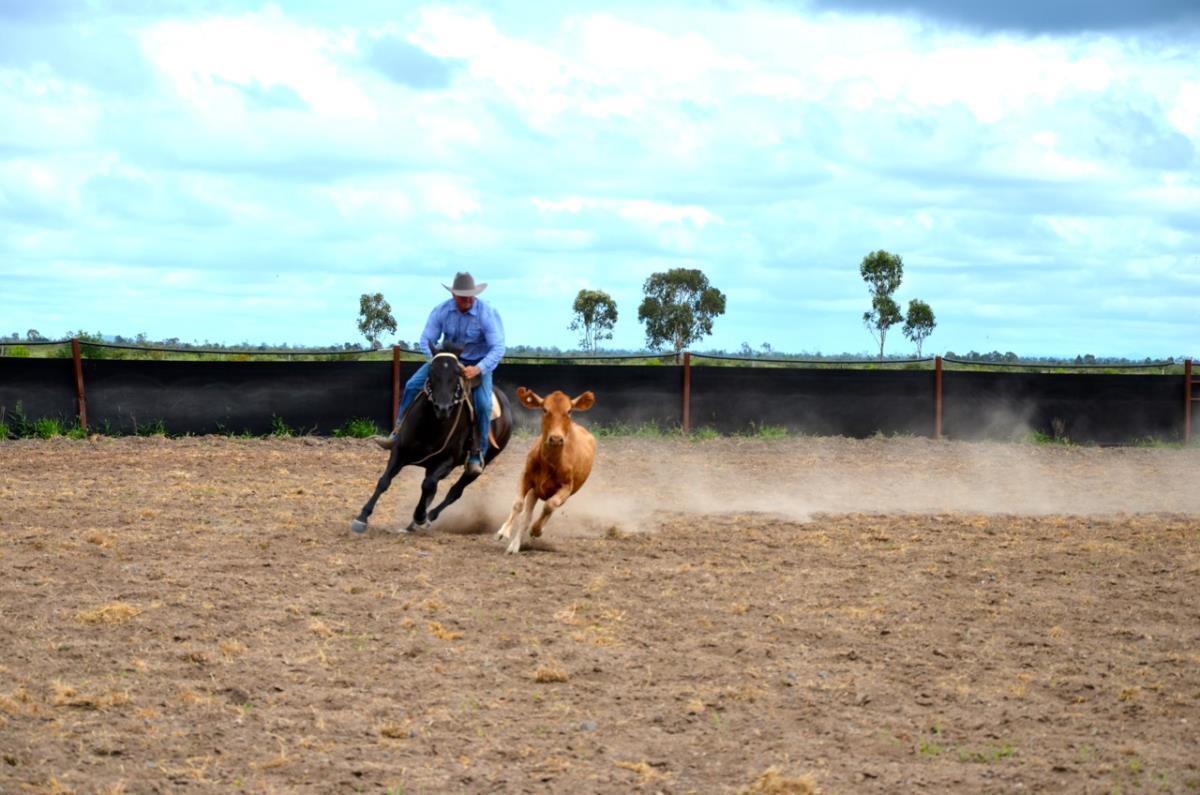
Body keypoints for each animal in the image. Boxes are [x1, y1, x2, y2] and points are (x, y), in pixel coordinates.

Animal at [350, 351, 512, 534]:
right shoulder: (399, 451)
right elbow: (384, 481)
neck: (430, 425)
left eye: (457, 375)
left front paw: (421, 516)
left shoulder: (446, 462)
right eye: (431, 372)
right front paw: (362, 517)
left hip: (479, 465)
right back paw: (413, 524)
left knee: (454, 492)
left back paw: (426, 517)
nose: (443, 408)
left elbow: (428, 485)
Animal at [496, 387, 596, 554]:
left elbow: (549, 506)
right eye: (544, 409)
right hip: (535, 491)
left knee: (549, 508)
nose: (556, 438)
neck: (550, 463)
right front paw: (504, 531)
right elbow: (518, 504)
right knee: (526, 517)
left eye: (569, 411)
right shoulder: (526, 477)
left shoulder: (566, 488)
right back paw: (514, 545)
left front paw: (536, 529)